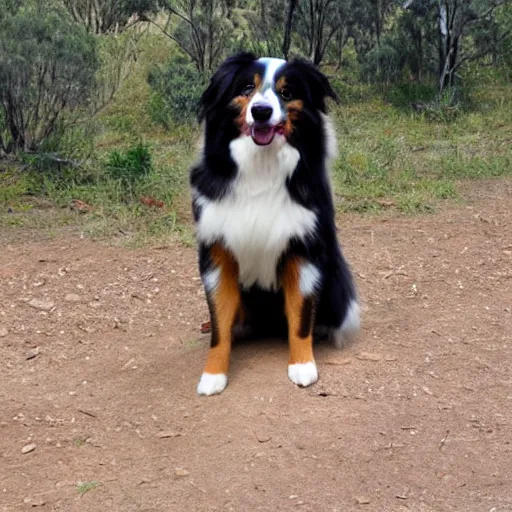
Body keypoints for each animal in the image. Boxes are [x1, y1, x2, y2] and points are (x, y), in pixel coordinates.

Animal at [189, 52, 360, 396]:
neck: (261, 167)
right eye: (246, 88)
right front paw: (213, 375)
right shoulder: (217, 252)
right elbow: (219, 324)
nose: (261, 111)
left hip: (336, 280)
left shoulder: (303, 251)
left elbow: (301, 316)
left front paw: (303, 366)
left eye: (286, 92)